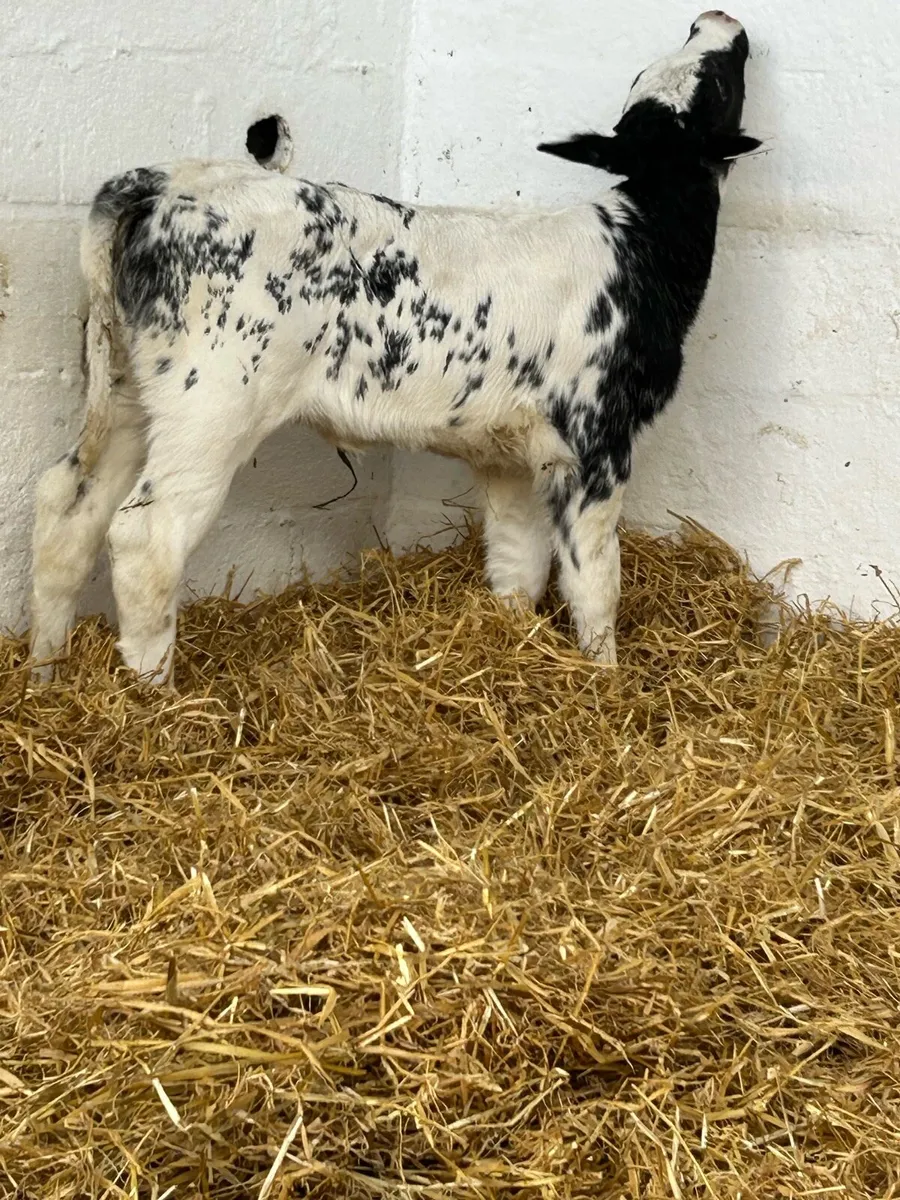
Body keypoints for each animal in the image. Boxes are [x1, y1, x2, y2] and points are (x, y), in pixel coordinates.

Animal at [30, 11, 760, 685]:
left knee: (66, 506)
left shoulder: (513, 454)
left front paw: (513, 644)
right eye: (720, 84)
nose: (716, 17)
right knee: (145, 535)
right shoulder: (597, 441)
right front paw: (605, 679)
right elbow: (594, 580)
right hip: (211, 403)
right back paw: (156, 696)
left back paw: (44, 671)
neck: (643, 242)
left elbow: (516, 562)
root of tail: (160, 182)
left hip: (126, 388)